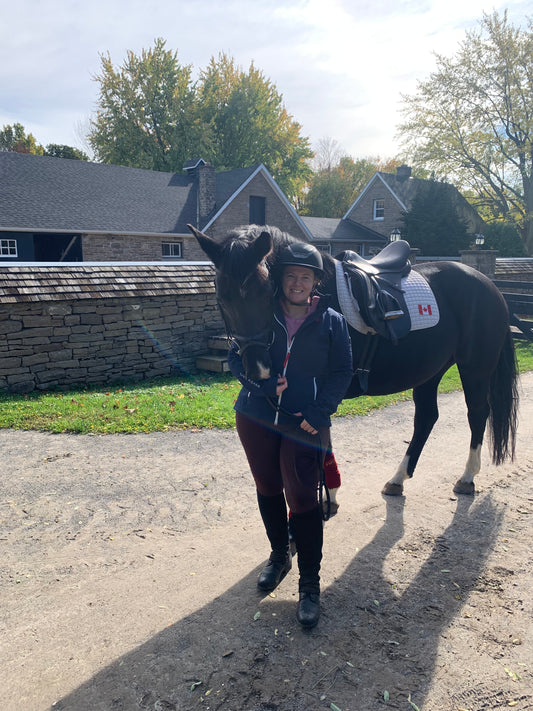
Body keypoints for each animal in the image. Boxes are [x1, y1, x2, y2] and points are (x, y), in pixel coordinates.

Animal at [189, 225, 516, 498]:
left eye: (266, 291)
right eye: (222, 297)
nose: (258, 367)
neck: (320, 296)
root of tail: (488, 285)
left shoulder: (323, 396)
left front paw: (327, 499)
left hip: (475, 369)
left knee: (477, 413)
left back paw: (467, 477)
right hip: (429, 371)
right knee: (426, 417)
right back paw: (398, 479)